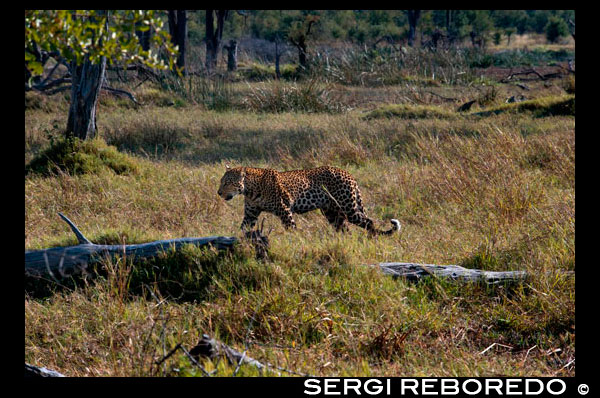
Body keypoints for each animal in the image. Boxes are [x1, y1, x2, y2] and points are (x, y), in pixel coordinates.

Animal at [218, 166, 400, 236]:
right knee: (344, 228)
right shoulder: (251, 213)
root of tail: (348, 174)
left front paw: (293, 240)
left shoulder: (284, 209)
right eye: (222, 181)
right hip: (332, 212)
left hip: (349, 207)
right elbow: (243, 228)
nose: (219, 193)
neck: (250, 190)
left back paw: (371, 238)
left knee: (369, 221)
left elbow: (291, 227)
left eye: (227, 182)